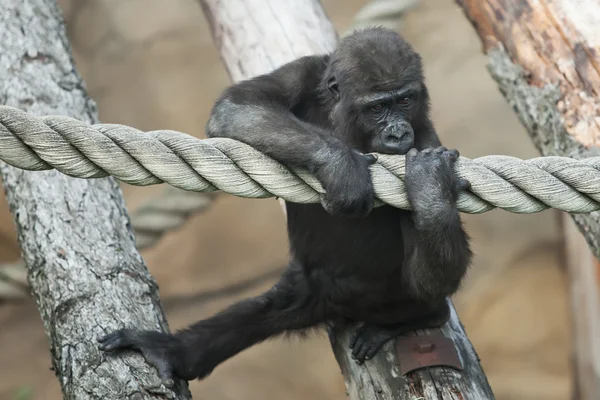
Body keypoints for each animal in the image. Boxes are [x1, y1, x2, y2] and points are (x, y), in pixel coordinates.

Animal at [99, 26, 474, 386]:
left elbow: (426, 279)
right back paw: (171, 351)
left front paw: (431, 188)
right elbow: (238, 105)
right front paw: (340, 165)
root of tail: (332, 305)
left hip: (384, 299)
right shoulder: (304, 71)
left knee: (423, 298)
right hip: (310, 286)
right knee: (266, 310)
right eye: (378, 107)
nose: (398, 133)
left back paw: (420, 317)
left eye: (406, 100)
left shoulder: (425, 138)